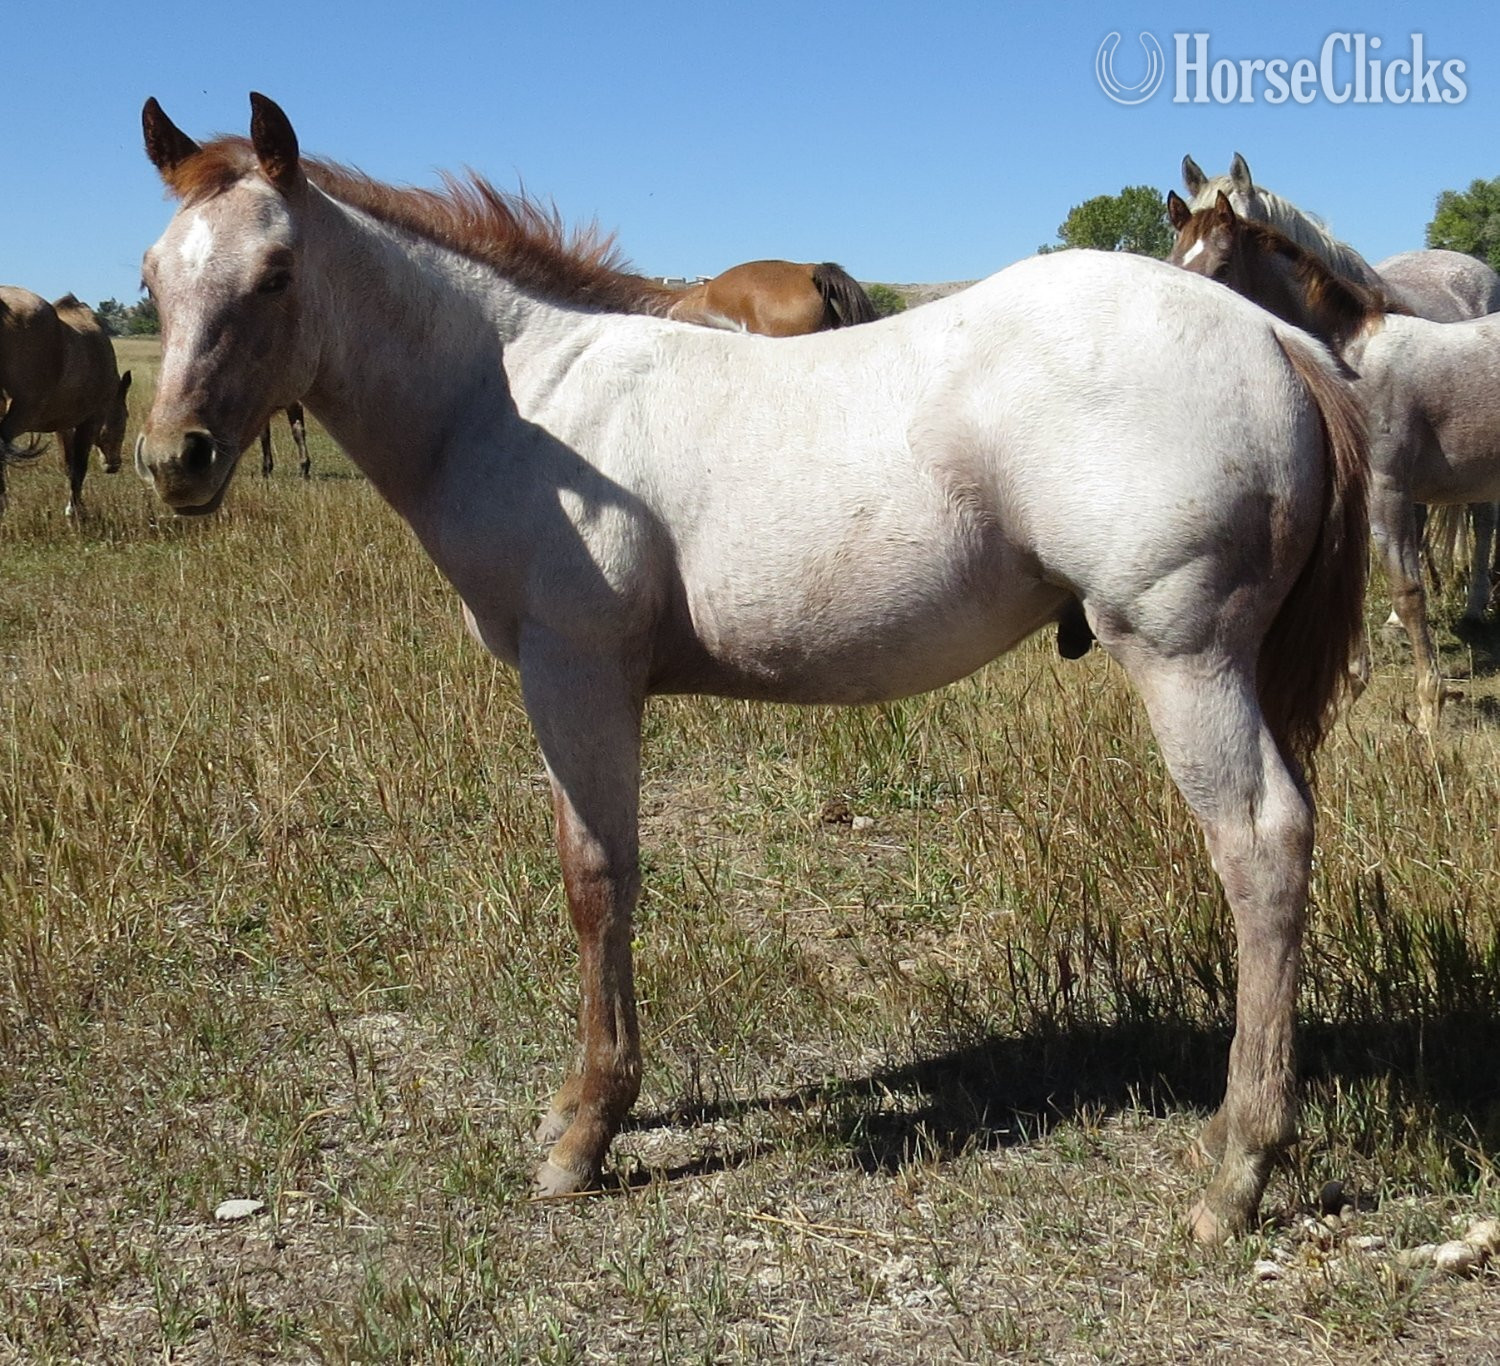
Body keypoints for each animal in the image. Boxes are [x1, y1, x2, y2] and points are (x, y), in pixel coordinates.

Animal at [0, 286, 132, 517]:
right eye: (126, 415)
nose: (114, 464)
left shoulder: (63, 425)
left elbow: (68, 465)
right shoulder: (90, 420)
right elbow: (79, 467)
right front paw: (76, 511)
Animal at [1168, 190, 1500, 726]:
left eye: (1222, 267)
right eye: (1174, 260)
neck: (1351, 364)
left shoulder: (1390, 491)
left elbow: (1407, 591)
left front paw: (1429, 706)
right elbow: (1355, 585)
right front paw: (1350, 689)